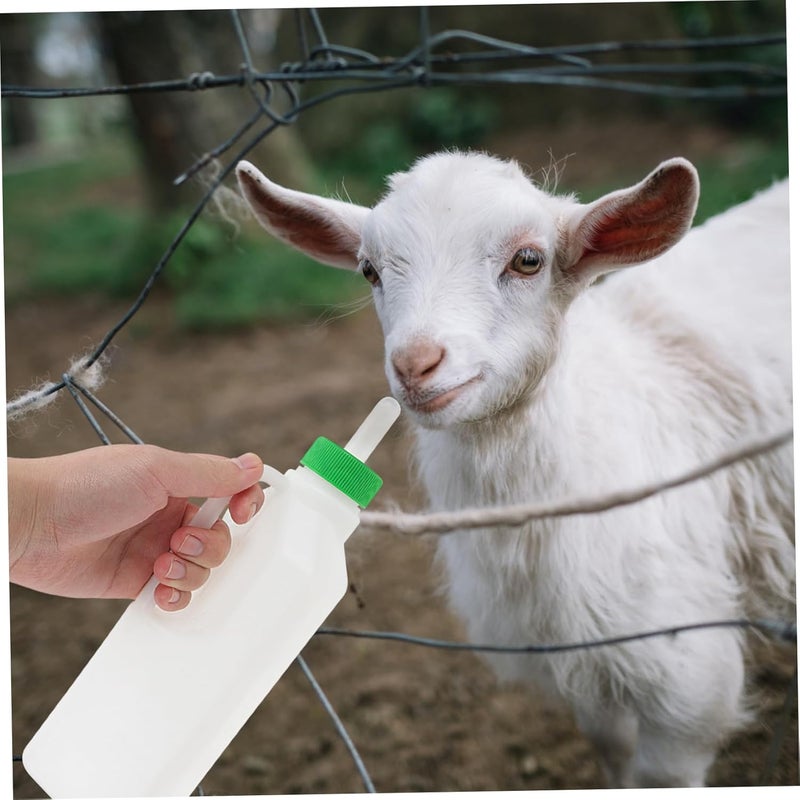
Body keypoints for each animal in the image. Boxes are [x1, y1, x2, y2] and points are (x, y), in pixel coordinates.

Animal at [235, 151, 795, 788]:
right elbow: (611, 751)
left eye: (529, 260)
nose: (415, 363)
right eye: (369, 271)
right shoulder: (578, 668)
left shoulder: (688, 680)